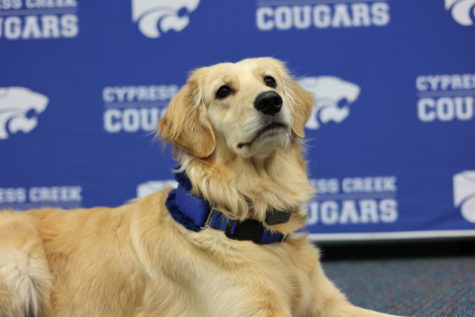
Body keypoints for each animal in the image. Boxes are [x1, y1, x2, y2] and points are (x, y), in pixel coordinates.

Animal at [0, 57, 406, 316]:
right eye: (223, 91)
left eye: (270, 81)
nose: (270, 101)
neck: (243, 217)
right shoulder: (254, 311)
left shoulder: (328, 302)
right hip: (18, 270)